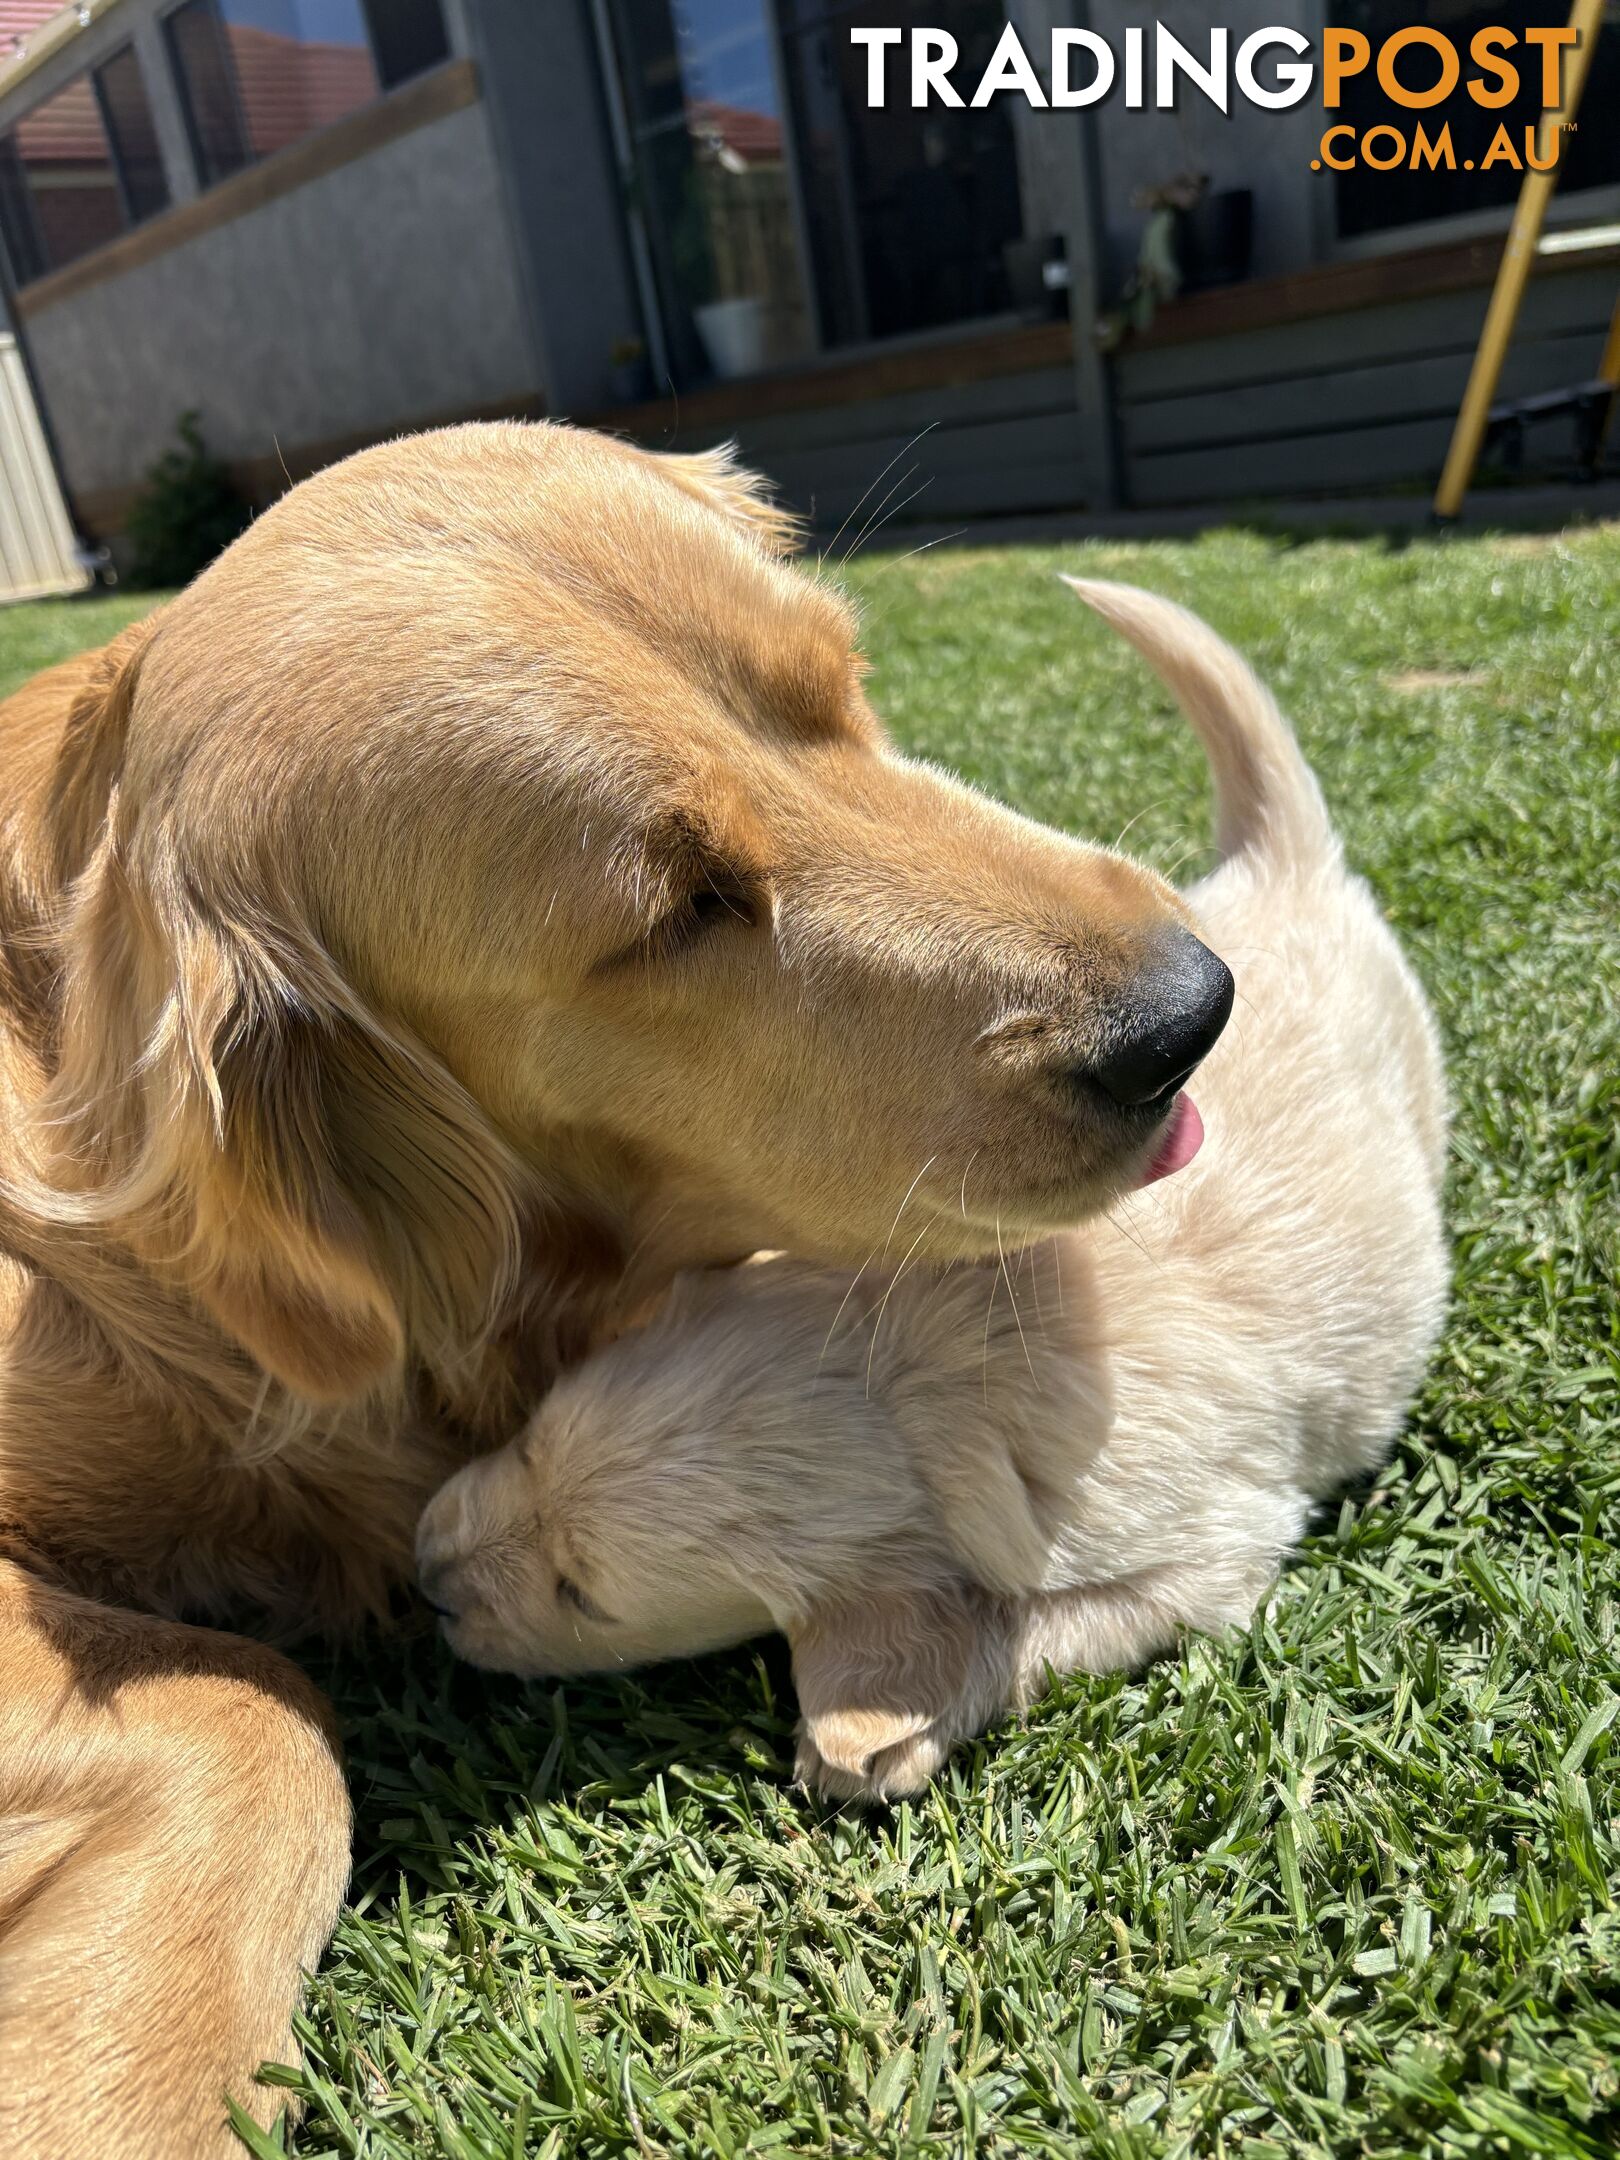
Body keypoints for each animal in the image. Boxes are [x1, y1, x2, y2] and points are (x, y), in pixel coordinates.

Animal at [414, 583, 1442, 1797]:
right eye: (531, 1442)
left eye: (584, 1595)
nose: (424, 1578)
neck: (919, 1370)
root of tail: (1281, 865)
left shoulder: (1211, 1549)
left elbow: (1036, 1627)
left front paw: (867, 1742)